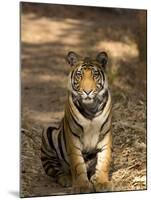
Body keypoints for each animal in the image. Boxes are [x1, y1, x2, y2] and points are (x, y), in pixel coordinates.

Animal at [40, 51, 112, 194]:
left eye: (95, 75)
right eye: (80, 75)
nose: (87, 91)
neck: (91, 109)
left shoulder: (105, 135)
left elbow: (104, 161)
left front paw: (102, 182)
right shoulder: (73, 138)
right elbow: (78, 164)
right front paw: (82, 186)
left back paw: (93, 177)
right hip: (48, 133)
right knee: (54, 169)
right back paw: (66, 178)